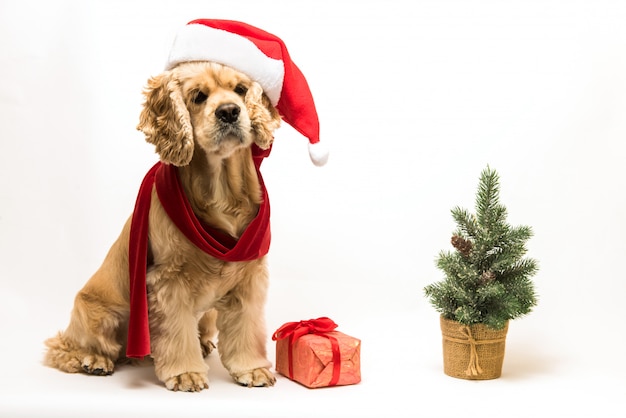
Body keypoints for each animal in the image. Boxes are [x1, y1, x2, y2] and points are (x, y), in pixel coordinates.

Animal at [42, 62, 280, 392]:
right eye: (198, 96)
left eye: (241, 90)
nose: (230, 112)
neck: (221, 191)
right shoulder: (169, 281)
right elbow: (177, 333)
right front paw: (185, 374)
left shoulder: (249, 276)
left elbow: (246, 327)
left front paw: (252, 368)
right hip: (97, 314)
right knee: (65, 348)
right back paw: (94, 360)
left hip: (207, 314)